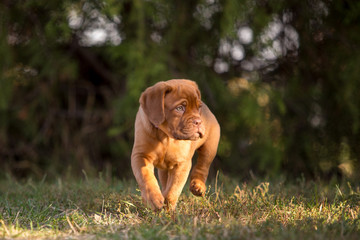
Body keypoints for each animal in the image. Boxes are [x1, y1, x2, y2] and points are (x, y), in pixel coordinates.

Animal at [131, 79, 221, 210]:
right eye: (179, 108)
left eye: (198, 108)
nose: (198, 121)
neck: (165, 136)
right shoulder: (140, 155)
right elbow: (146, 177)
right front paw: (153, 199)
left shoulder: (182, 163)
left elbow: (173, 189)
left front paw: (168, 208)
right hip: (164, 169)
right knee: (164, 180)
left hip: (210, 146)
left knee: (203, 165)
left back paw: (198, 186)